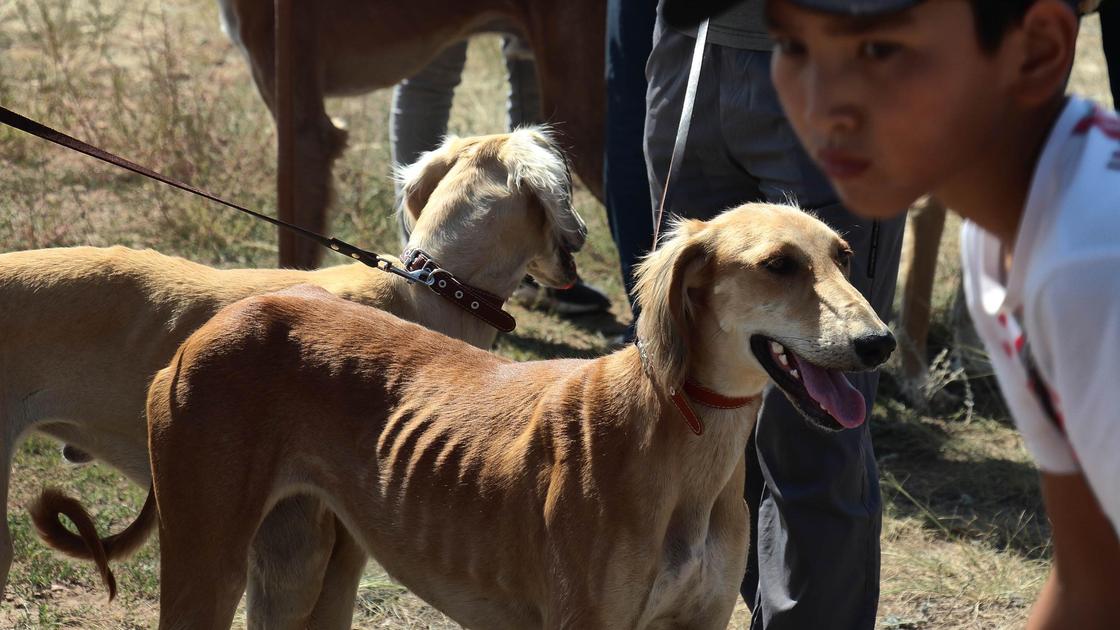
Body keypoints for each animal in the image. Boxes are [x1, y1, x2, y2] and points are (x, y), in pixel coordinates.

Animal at [39, 201, 891, 627]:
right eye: (778, 264)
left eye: (846, 256)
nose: (880, 343)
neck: (677, 435)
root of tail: (218, 322)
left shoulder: (699, 622)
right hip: (206, 559)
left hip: (302, 566)